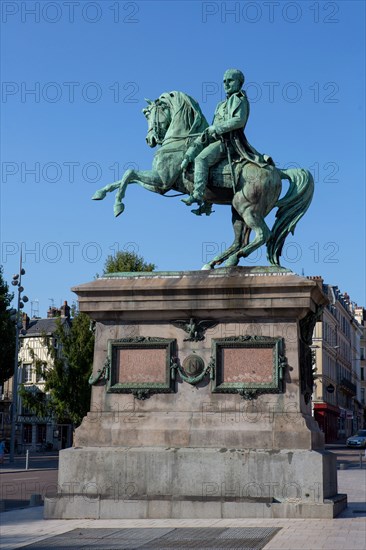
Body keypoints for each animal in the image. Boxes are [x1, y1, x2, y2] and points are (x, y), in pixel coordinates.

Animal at [93, 90, 314, 270]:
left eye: (148, 113)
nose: (150, 140)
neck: (179, 140)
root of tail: (278, 172)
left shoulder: (161, 181)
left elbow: (129, 173)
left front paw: (118, 206)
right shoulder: (160, 185)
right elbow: (125, 178)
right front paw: (100, 193)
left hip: (247, 208)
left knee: (262, 235)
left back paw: (233, 259)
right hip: (237, 211)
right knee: (239, 240)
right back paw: (216, 262)